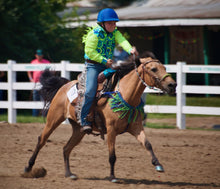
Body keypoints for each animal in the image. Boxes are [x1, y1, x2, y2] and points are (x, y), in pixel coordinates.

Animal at [23, 55, 176, 182]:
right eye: (154, 69)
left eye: (164, 68)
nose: (172, 85)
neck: (125, 95)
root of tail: (64, 85)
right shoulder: (111, 130)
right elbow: (112, 156)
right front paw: (113, 177)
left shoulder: (136, 127)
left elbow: (148, 144)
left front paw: (158, 164)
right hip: (53, 120)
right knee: (42, 140)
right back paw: (28, 168)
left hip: (79, 130)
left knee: (66, 148)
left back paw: (69, 174)